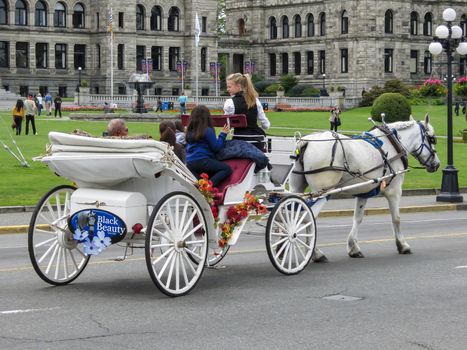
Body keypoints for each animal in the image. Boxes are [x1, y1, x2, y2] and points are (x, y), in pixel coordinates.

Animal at [290, 116, 440, 262]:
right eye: (432, 138)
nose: (437, 164)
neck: (392, 144)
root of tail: (306, 142)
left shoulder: (363, 192)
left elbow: (358, 218)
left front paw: (353, 247)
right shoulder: (395, 191)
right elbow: (396, 218)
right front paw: (402, 245)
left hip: (296, 187)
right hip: (322, 192)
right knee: (308, 218)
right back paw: (315, 253)